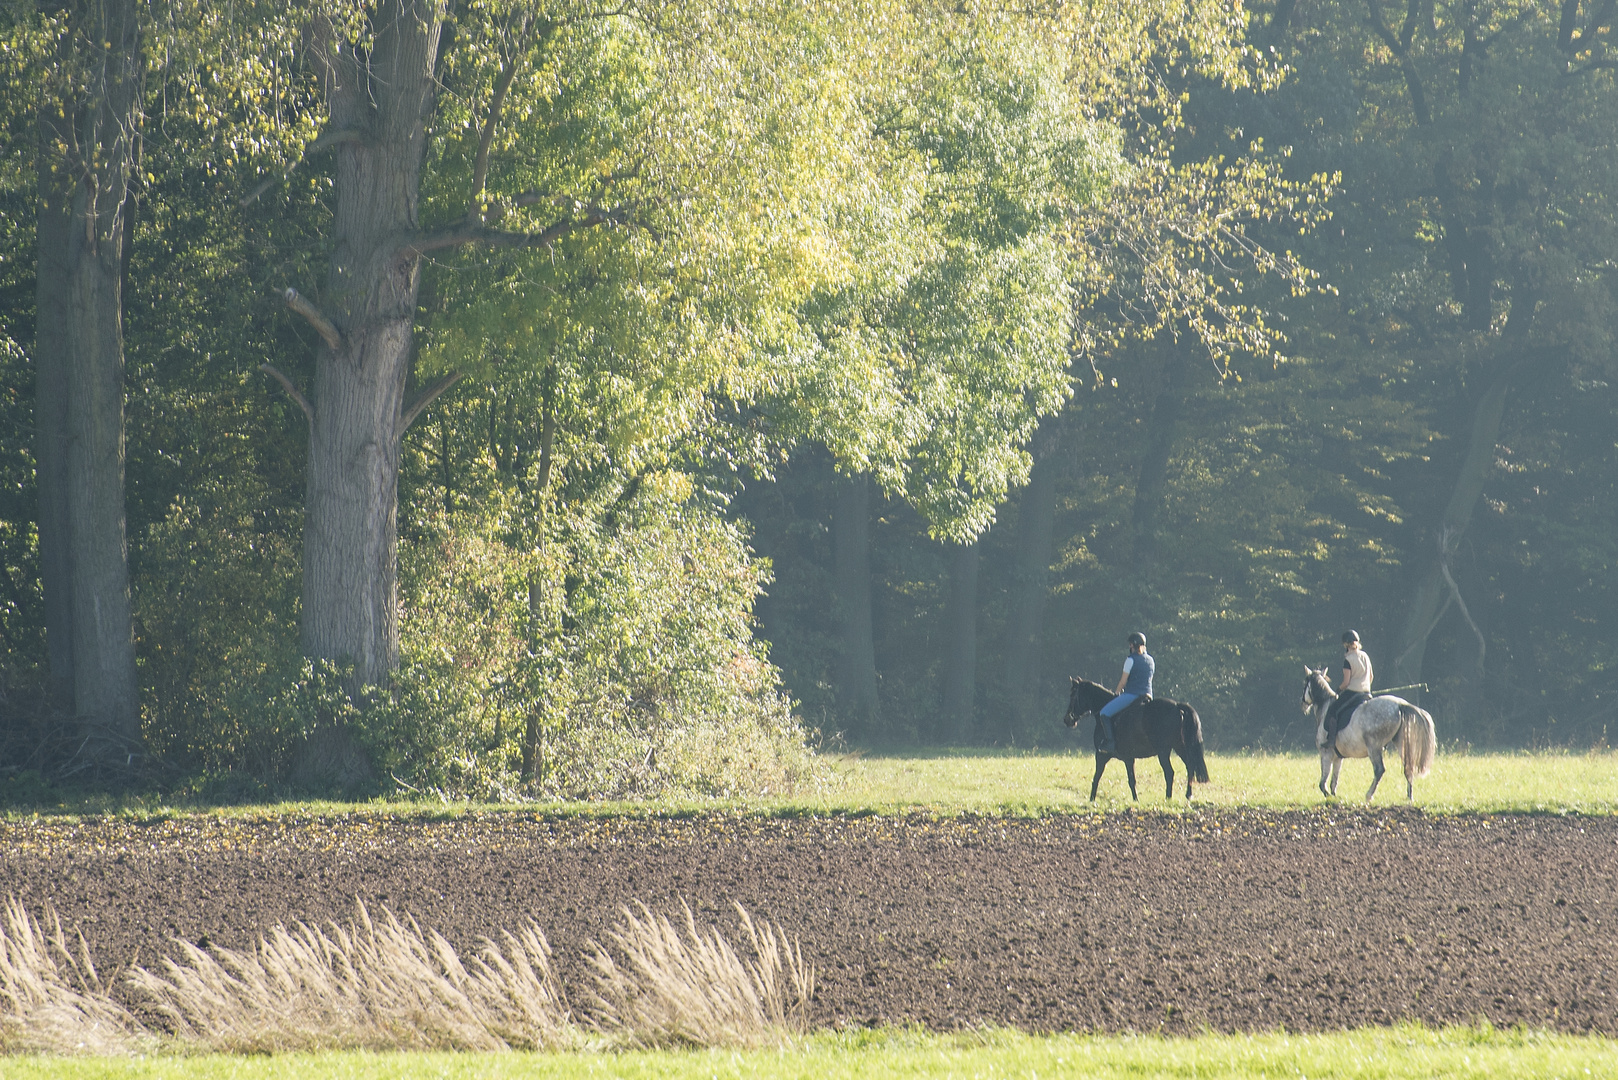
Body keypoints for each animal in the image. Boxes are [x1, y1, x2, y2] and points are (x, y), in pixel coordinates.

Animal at [1067, 676, 1210, 803]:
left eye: (1073, 695)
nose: (1066, 719)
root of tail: (1177, 706)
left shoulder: (1102, 755)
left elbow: (1097, 777)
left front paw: (1091, 800)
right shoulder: (1129, 758)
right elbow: (1131, 780)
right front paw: (1136, 800)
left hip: (1163, 751)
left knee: (1170, 772)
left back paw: (1168, 798)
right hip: (1179, 746)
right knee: (1190, 766)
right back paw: (1188, 795)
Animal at [1307, 663, 1436, 806]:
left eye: (1305, 682)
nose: (1303, 702)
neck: (1325, 708)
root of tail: (1400, 704)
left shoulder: (1326, 754)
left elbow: (1323, 782)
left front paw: (1329, 796)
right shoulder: (1338, 757)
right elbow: (1334, 780)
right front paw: (1334, 797)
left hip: (1374, 747)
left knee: (1379, 770)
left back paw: (1369, 795)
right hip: (1401, 743)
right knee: (1408, 767)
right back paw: (1409, 797)